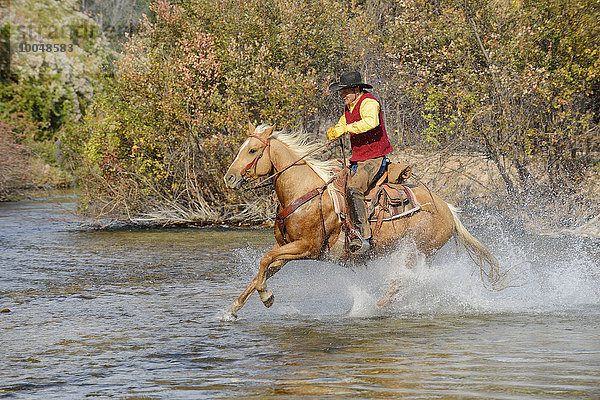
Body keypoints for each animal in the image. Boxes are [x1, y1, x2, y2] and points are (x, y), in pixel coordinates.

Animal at [223, 123, 500, 318]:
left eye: (253, 150)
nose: (229, 177)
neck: (304, 192)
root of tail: (448, 210)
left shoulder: (307, 248)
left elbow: (264, 260)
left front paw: (267, 297)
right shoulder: (285, 247)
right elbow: (263, 269)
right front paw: (232, 309)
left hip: (416, 250)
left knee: (402, 281)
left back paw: (371, 307)